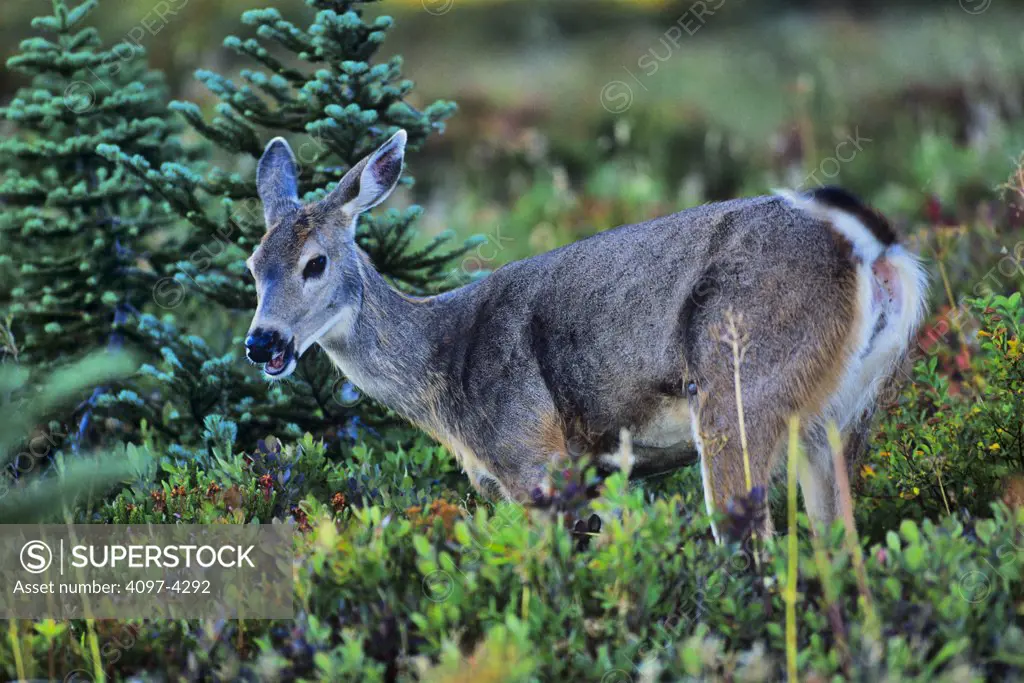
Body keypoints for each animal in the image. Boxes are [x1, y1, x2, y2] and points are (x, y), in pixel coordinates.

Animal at [245, 129, 929, 540]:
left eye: (315, 263)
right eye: (252, 265)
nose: (262, 343)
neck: (447, 369)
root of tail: (875, 249)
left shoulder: (534, 458)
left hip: (740, 390)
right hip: (844, 413)